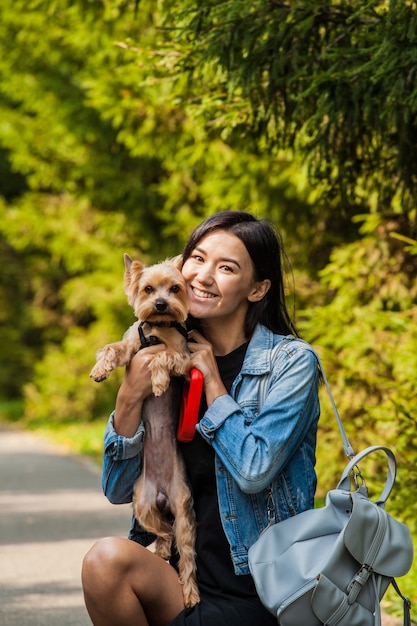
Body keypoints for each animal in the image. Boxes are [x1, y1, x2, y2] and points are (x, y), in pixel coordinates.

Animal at [89, 252, 198, 604]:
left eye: (175, 288)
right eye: (148, 289)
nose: (161, 304)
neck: (158, 328)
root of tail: (163, 493)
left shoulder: (185, 360)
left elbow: (164, 357)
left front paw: (160, 382)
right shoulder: (131, 345)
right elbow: (113, 348)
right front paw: (100, 369)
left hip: (183, 509)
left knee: (184, 550)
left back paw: (191, 595)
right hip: (143, 503)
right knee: (160, 530)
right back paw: (161, 549)